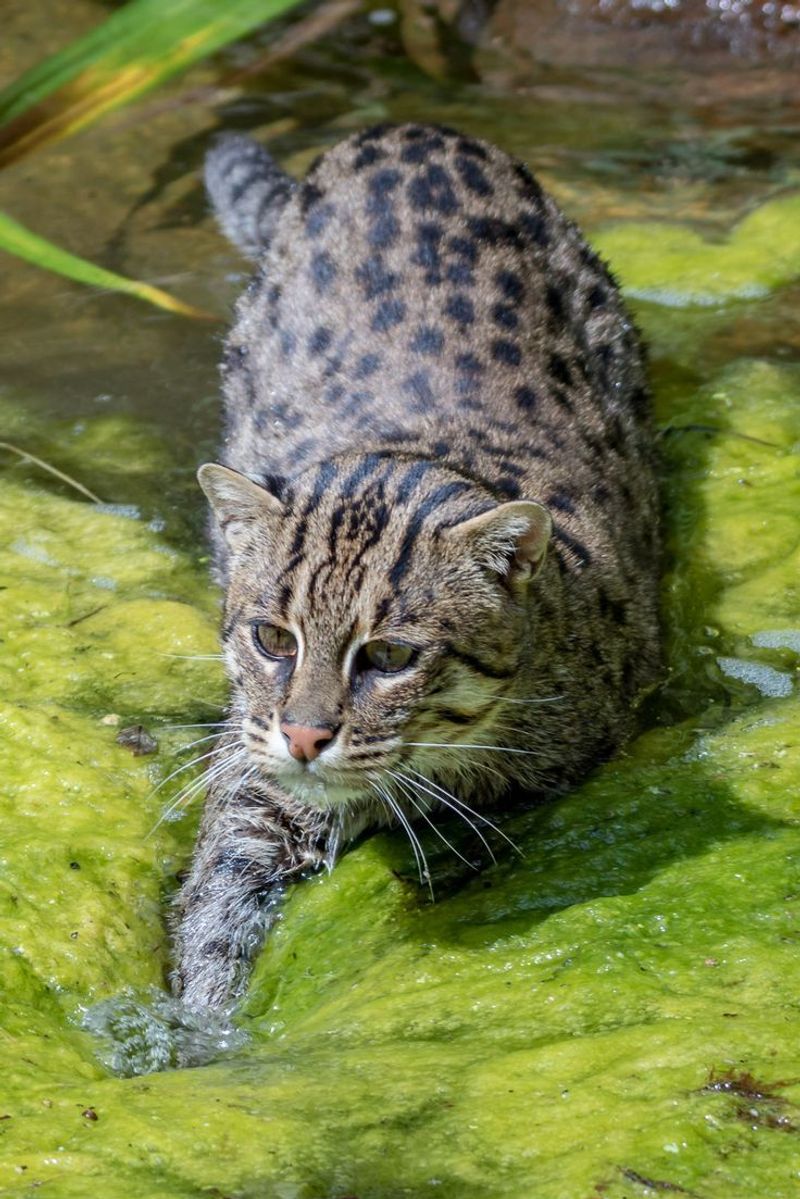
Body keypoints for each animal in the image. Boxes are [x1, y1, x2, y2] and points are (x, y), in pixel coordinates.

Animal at [176, 121, 662, 1007]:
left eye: (392, 656)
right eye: (272, 639)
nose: (304, 736)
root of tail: (407, 130)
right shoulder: (252, 771)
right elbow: (218, 902)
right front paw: (201, 1022)